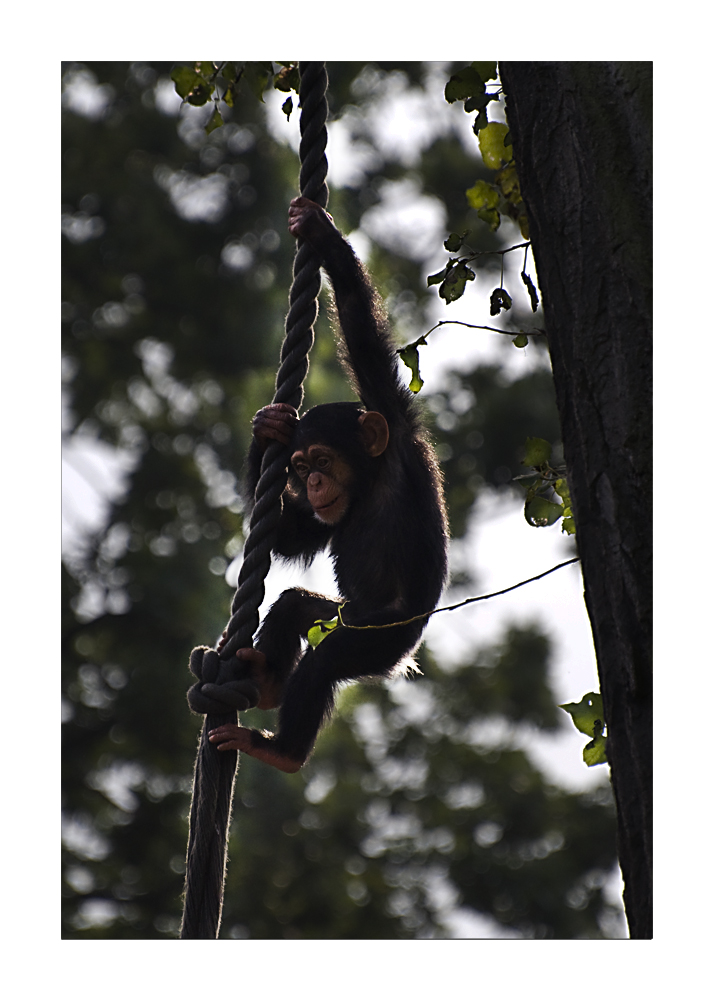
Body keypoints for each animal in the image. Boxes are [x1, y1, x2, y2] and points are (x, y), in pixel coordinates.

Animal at [209, 197, 448, 772]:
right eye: (297, 468)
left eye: (320, 459)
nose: (314, 481)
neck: (368, 483)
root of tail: (404, 660)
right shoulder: (327, 514)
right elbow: (294, 538)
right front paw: (265, 429)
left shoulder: (397, 430)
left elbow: (364, 341)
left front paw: (326, 239)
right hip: (339, 617)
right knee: (296, 605)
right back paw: (268, 680)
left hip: (375, 641)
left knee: (323, 664)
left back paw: (280, 752)